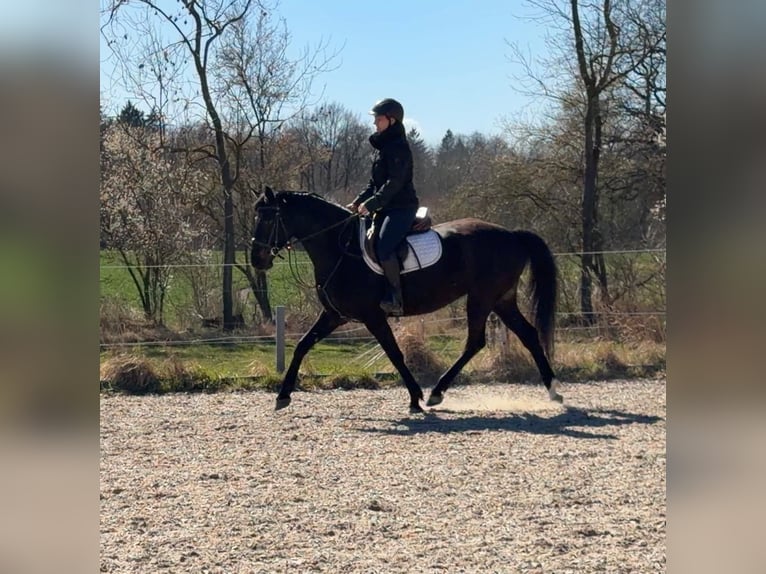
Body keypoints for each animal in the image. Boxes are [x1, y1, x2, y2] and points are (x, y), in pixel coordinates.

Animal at [250, 186, 563, 413]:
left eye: (267, 218)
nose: (257, 260)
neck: (341, 249)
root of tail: (512, 234)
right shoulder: (335, 315)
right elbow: (302, 345)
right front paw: (283, 396)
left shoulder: (372, 316)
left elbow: (394, 353)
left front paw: (415, 398)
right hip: (502, 300)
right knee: (528, 334)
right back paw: (553, 391)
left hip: (482, 299)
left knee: (475, 342)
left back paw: (437, 392)